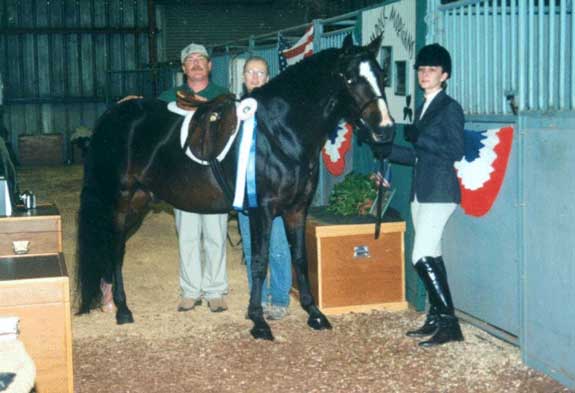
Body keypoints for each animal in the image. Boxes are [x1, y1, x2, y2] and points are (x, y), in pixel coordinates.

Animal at [76, 34, 396, 340]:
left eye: (382, 75)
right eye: (350, 78)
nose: (386, 129)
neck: (280, 131)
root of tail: (113, 115)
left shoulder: (296, 209)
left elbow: (299, 258)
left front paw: (314, 314)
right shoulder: (262, 211)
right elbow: (259, 262)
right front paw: (258, 322)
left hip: (139, 202)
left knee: (115, 247)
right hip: (119, 199)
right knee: (114, 248)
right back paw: (122, 309)